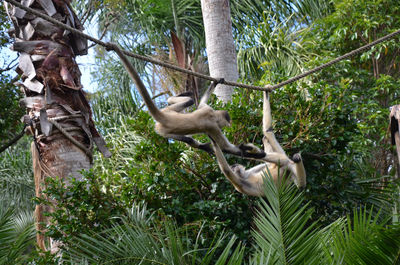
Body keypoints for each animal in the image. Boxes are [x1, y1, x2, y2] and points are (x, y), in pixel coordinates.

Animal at [106, 42, 266, 159]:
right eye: (225, 124)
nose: (227, 126)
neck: (212, 115)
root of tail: (163, 117)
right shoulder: (212, 126)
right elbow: (226, 147)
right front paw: (256, 153)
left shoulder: (208, 109)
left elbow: (201, 104)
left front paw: (216, 82)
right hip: (163, 131)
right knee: (187, 139)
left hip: (169, 111)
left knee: (188, 101)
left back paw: (182, 96)